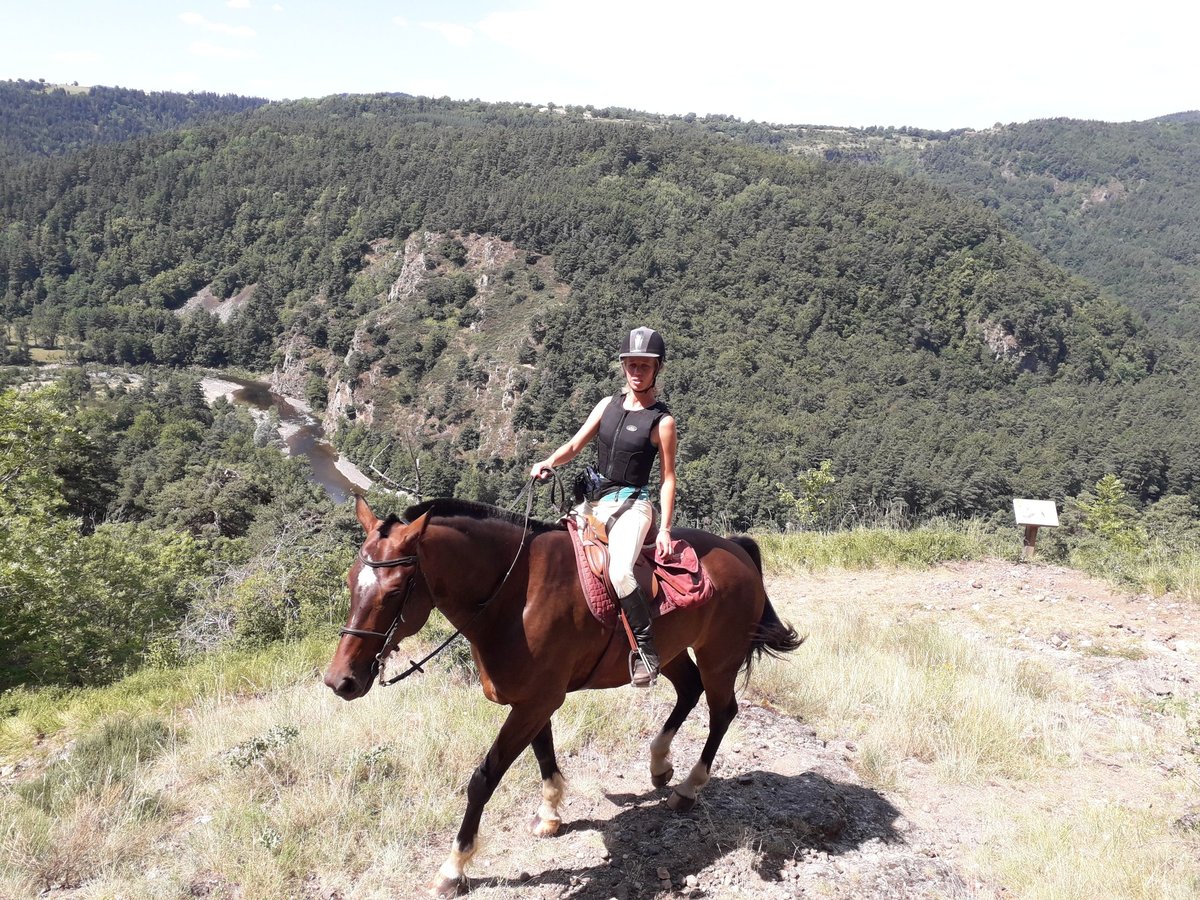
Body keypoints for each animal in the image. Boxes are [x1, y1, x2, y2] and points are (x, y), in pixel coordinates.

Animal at [324, 496, 801, 897]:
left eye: (393, 592)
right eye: (350, 581)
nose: (340, 681)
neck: (514, 594)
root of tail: (737, 550)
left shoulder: (535, 701)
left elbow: (483, 779)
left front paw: (454, 867)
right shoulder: (535, 699)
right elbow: (544, 752)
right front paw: (551, 813)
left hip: (720, 656)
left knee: (722, 711)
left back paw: (687, 788)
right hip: (668, 652)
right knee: (689, 691)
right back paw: (660, 764)